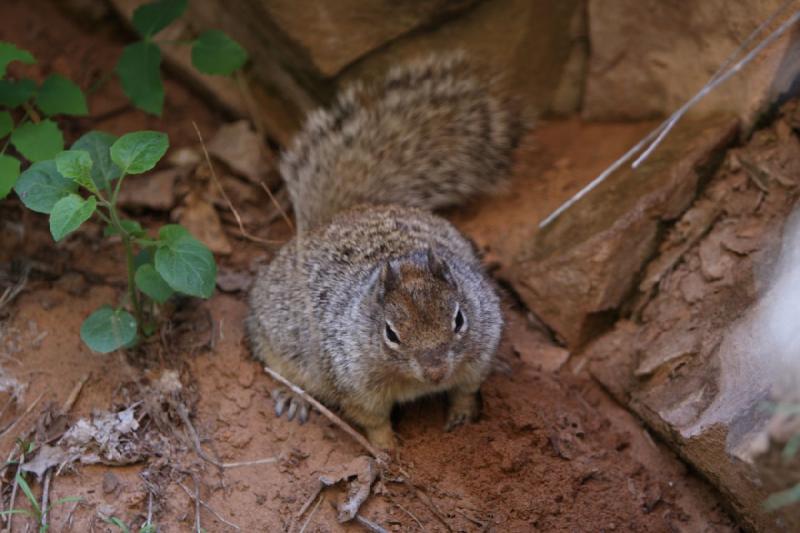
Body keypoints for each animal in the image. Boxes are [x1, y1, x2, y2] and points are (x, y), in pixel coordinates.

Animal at [248, 52, 524, 446]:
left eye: (459, 319)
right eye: (391, 334)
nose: (437, 372)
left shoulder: (478, 352)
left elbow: (466, 389)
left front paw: (462, 416)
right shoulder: (353, 381)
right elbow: (373, 420)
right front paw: (387, 450)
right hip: (274, 343)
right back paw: (293, 397)